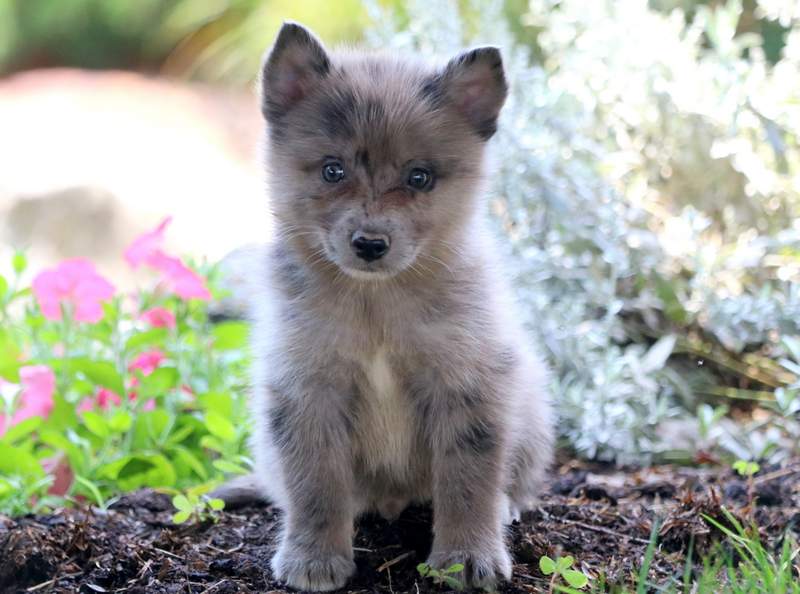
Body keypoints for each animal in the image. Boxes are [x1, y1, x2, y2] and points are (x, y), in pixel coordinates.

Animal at [215, 22, 555, 592]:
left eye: (419, 177)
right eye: (333, 170)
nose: (370, 244)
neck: (374, 307)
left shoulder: (468, 384)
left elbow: (468, 481)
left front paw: (467, 559)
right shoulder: (308, 388)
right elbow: (315, 484)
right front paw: (313, 558)